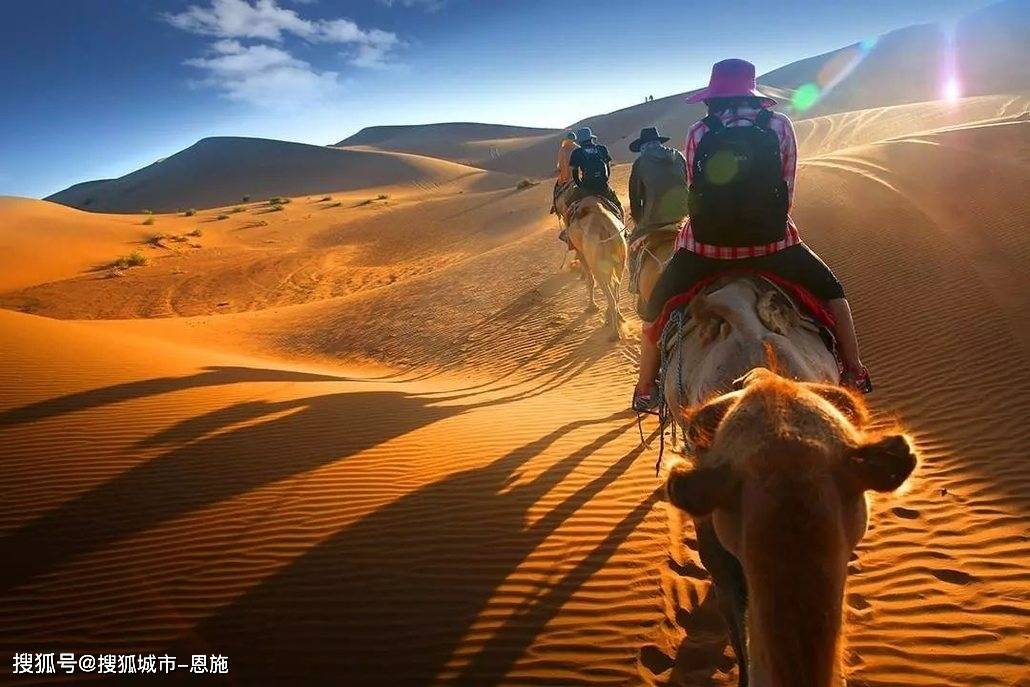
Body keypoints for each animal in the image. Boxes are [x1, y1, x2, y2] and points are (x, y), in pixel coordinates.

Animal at [564, 195, 626, 341]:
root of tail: (604, 228)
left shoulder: (582, 253)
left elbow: (590, 281)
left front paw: (591, 307)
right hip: (620, 259)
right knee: (617, 290)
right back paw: (617, 318)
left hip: (597, 262)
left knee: (610, 295)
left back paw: (614, 333)